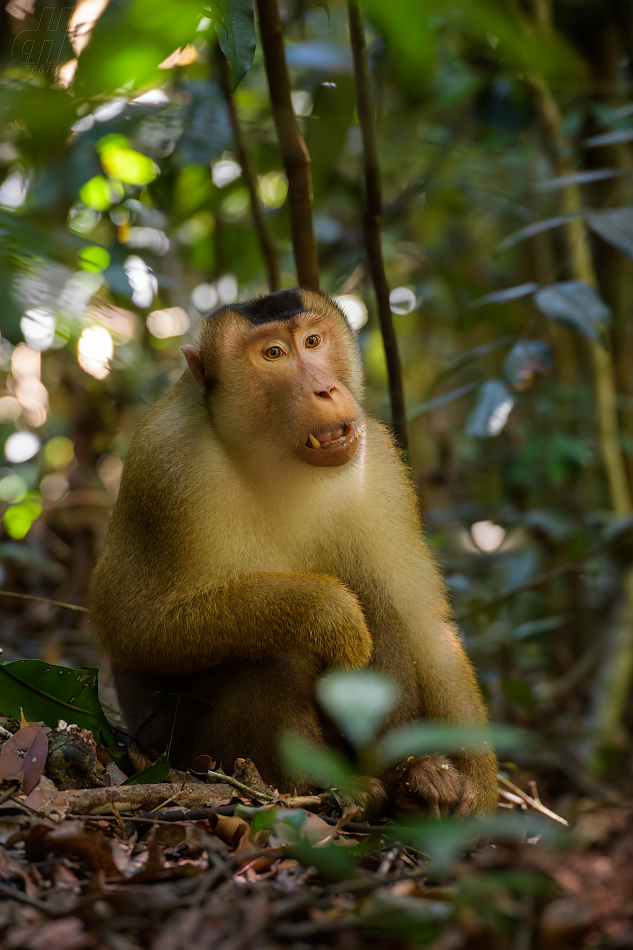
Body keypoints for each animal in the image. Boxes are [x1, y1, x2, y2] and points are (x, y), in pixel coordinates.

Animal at [89, 288, 496, 820]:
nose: (325, 389)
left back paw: (412, 777)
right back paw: (317, 785)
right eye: (273, 354)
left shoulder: (380, 464)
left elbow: (423, 622)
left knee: (383, 609)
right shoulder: (166, 466)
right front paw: (330, 613)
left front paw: (475, 786)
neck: (274, 460)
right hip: (178, 748)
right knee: (277, 654)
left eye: (313, 341)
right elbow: (132, 625)